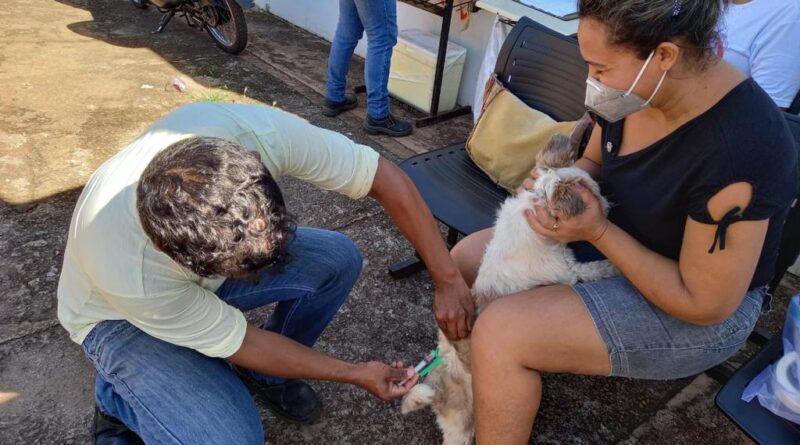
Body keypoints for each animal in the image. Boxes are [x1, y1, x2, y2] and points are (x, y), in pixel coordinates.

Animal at [400, 134, 620, 444]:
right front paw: (613, 267)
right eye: (594, 196)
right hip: (460, 425)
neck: (535, 204)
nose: (609, 207)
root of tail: (441, 383)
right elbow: (594, 269)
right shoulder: (568, 270)